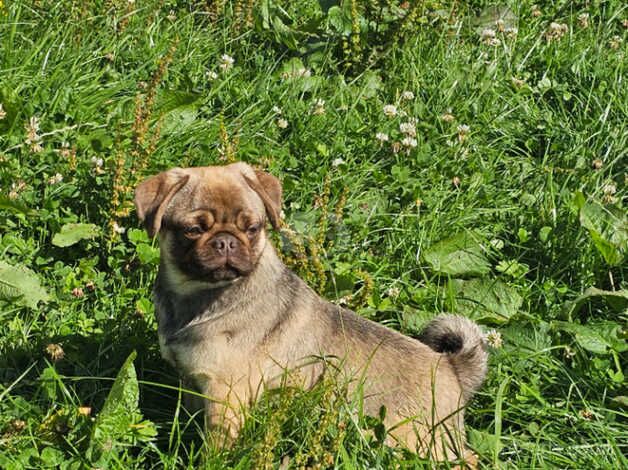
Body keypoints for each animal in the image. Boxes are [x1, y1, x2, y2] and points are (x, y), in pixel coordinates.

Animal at [131, 162, 486, 462]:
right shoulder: (191, 381)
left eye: (252, 229)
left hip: (416, 440)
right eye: (192, 230)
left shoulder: (226, 397)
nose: (226, 242)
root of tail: (452, 367)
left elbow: (216, 448)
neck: (199, 296)